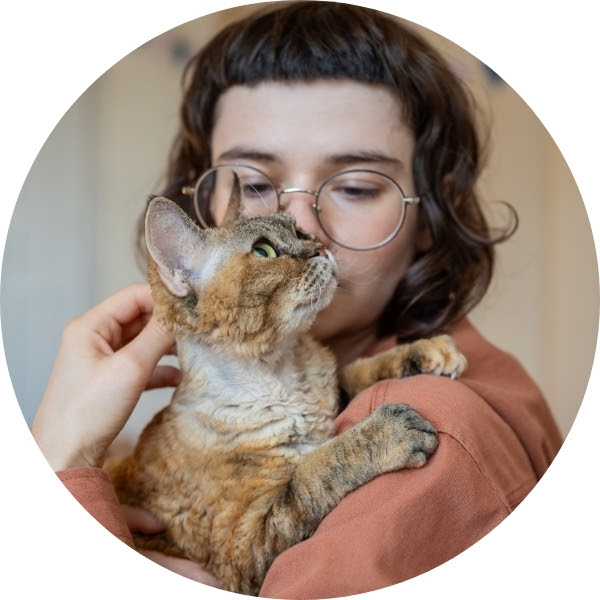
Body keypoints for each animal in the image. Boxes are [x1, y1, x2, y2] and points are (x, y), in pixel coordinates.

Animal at [104, 193, 468, 596]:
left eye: (301, 232)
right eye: (263, 251)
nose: (321, 248)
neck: (284, 375)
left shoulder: (332, 390)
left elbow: (354, 369)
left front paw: (424, 350)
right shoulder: (247, 546)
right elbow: (317, 469)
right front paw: (389, 431)